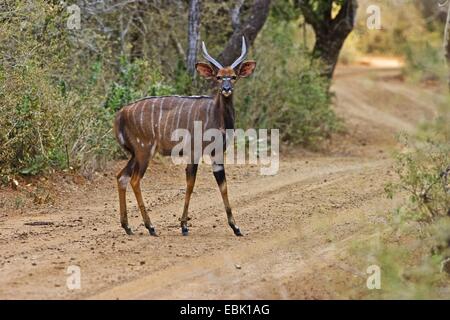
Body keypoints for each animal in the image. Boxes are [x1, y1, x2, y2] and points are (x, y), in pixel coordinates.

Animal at [114, 38, 255, 238]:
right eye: (219, 77)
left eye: (233, 76)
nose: (226, 89)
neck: (216, 115)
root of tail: (120, 114)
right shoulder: (194, 152)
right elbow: (190, 184)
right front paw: (184, 226)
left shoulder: (217, 154)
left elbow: (223, 185)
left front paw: (236, 227)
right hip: (144, 150)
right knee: (134, 180)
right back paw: (150, 227)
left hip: (135, 154)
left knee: (121, 177)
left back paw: (127, 226)